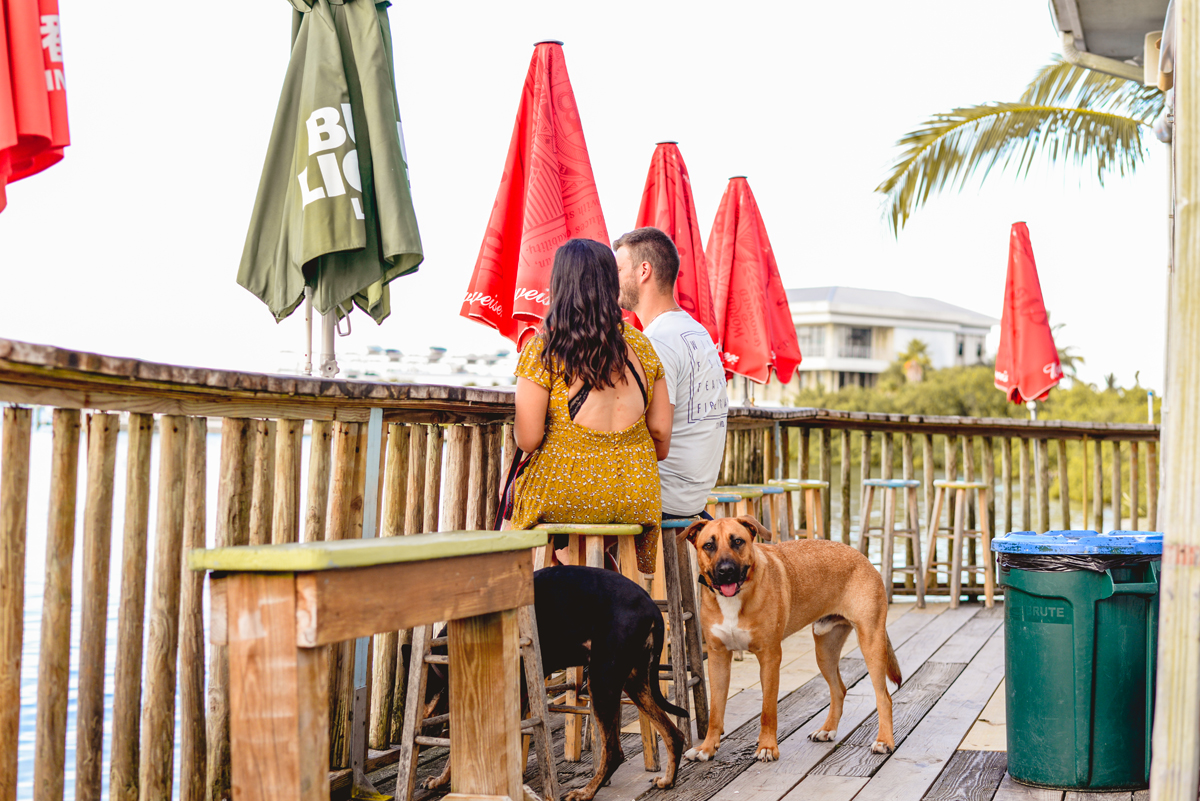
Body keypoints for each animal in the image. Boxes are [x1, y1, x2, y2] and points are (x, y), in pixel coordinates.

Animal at [412, 563, 686, 801]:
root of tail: (652, 607)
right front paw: (443, 780)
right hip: (634, 682)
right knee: (674, 734)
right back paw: (668, 780)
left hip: (602, 681)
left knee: (614, 752)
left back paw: (586, 792)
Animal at [686, 515, 902, 762]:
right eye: (708, 546)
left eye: (738, 541)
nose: (726, 571)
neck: (736, 597)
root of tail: (862, 557)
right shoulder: (717, 658)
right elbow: (715, 711)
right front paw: (706, 748)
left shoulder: (770, 657)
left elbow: (768, 710)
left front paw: (767, 747)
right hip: (825, 650)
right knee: (839, 689)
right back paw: (827, 729)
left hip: (871, 644)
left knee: (884, 697)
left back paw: (884, 741)